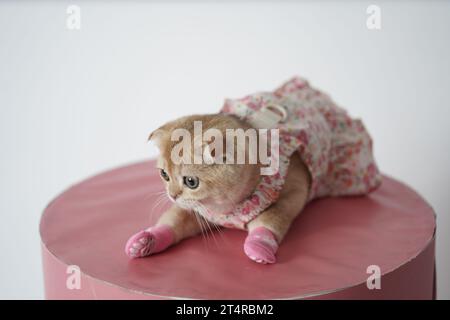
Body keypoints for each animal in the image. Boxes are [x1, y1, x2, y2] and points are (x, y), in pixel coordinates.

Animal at [125, 76, 382, 264]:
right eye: (164, 175)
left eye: (191, 181)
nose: (172, 194)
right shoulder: (196, 211)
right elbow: (174, 219)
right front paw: (148, 239)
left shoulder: (292, 195)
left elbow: (270, 220)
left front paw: (260, 245)